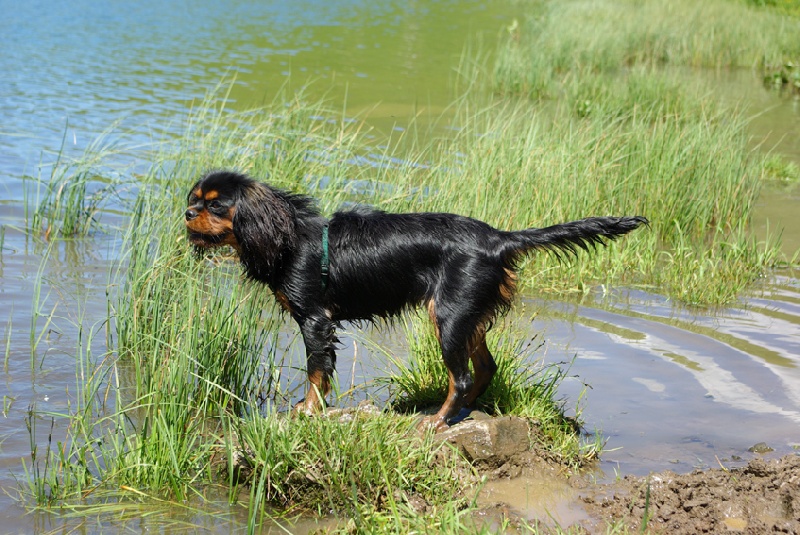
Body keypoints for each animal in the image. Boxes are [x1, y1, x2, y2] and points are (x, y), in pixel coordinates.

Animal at [184, 171, 648, 432]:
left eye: (216, 205)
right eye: (194, 200)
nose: (187, 214)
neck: (287, 237)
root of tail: (499, 239)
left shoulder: (316, 320)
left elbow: (316, 371)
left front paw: (307, 410)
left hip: (448, 316)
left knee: (461, 377)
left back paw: (438, 420)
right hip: (466, 315)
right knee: (484, 369)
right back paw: (463, 412)